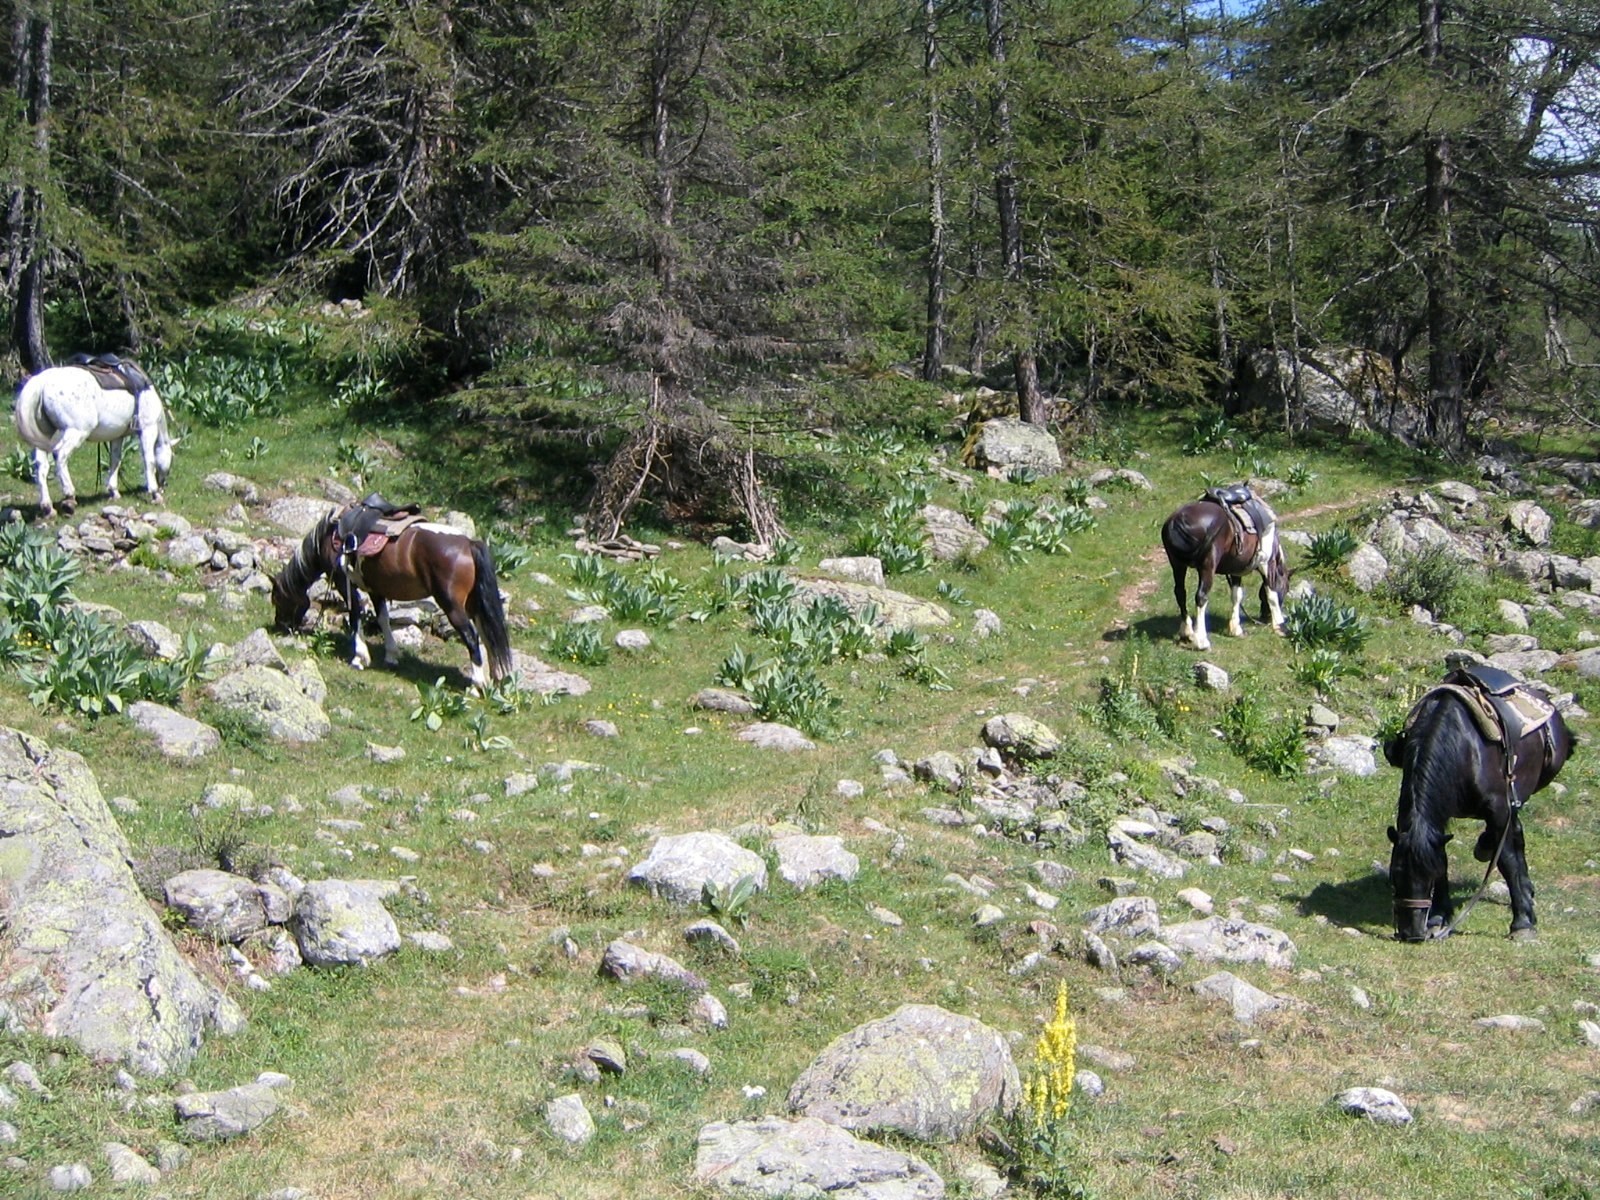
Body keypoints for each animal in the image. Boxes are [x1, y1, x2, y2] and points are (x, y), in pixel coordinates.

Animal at [13, 359, 176, 517]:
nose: (163, 485)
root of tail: (42, 381)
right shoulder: (148, 429)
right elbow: (149, 461)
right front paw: (155, 494)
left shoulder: (117, 437)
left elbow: (115, 461)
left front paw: (114, 491)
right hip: (76, 432)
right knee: (60, 455)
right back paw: (69, 497)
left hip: (45, 438)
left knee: (42, 465)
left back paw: (47, 507)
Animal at [271, 510, 514, 689]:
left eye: (277, 600)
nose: (280, 626)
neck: (329, 537)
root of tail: (468, 544)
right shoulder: (376, 589)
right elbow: (383, 618)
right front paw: (391, 655)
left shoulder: (343, 582)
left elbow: (355, 614)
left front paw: (359, 657)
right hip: (474, 604)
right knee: (488, 635)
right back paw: (494, 678)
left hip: (452, 605)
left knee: (472, 637)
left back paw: (476, 685)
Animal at [1160, 493, 1288, 650]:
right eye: (1286, 589)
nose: (1265, 617)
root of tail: (1179, 521)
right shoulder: (1267, 564)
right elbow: (1271, 593)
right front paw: (1280, 625)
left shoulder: (1235, 569)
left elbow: (1236, 595)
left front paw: (1236, 629)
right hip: (1207, 566)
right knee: (1201, 597)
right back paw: (1202, 641)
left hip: (1177, 564)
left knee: (1180, 593)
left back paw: (1187, 632)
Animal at [1385, 680, 1573, 942]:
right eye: (1395, 875)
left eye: (1428, 878)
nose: (1411, 934)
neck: (1464, 749)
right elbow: (1443, 858)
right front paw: (1438, 918)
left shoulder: (1498, 810)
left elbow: (1507, 861)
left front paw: (1522, 924)